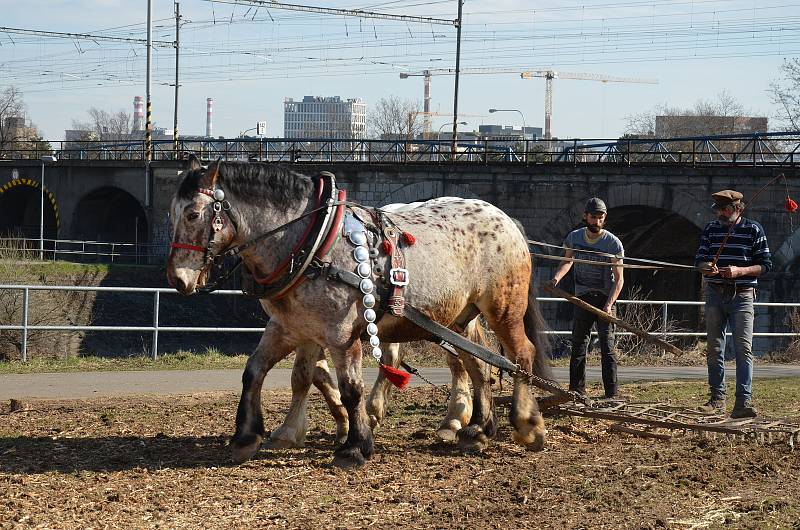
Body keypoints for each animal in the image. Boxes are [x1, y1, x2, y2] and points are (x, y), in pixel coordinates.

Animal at [167, 158, 556, 466]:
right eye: (171, 214)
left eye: (193, 214)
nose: (176, 279)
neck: (310, 240)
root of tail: (506, 219)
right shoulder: (291, 327)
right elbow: (266, 373)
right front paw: (252, 436)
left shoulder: (340, 333)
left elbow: (350, 387)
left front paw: (355, 446)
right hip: (461, 317)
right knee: (478, 363)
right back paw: (477, 427)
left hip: (503, 308)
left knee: (520, 354)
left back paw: (526, 424)